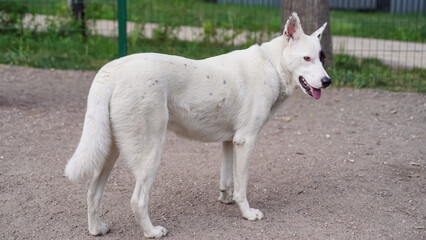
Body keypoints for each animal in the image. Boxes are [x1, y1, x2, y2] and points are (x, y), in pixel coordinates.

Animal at [65, 12, 332, 238]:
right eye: (306, 58)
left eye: (322, 58)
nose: (327, 81)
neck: (271, 66)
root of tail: (113, 70)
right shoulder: (246, 141)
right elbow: (242, 186)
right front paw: (247, 213)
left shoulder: (230, 141)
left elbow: (227, 179)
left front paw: (225, 200)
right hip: (150, 152)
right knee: (137, 200)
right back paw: (152, 232)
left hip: (109, 150)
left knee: (92, 192)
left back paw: (96, 229)